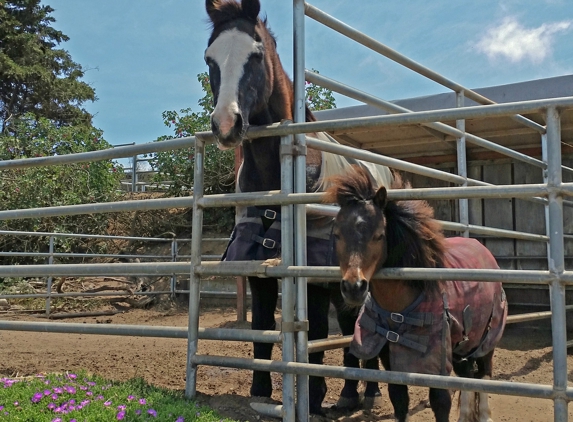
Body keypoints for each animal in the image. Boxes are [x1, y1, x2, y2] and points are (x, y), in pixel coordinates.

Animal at [203, 0, 392, 416]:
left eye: (256, 55)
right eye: (210, 59)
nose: (226, 124)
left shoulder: (312, 272)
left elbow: (317, 331)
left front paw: (315, 397)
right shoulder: (257, 264)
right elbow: (262, 326)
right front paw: (261, 391)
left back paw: (366, 392)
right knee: (350, 321)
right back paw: (350, 393)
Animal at [324, 167, 508, 422]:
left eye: (379, 235)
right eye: (338, 234)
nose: (354, 287)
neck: (401, 309)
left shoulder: (437, 365)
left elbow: (440, 402)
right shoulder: (390, 362)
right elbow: (399, 400)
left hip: (486, 340)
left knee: (484, 376)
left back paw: (484, 415)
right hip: (462, 345)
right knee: (468, 377)